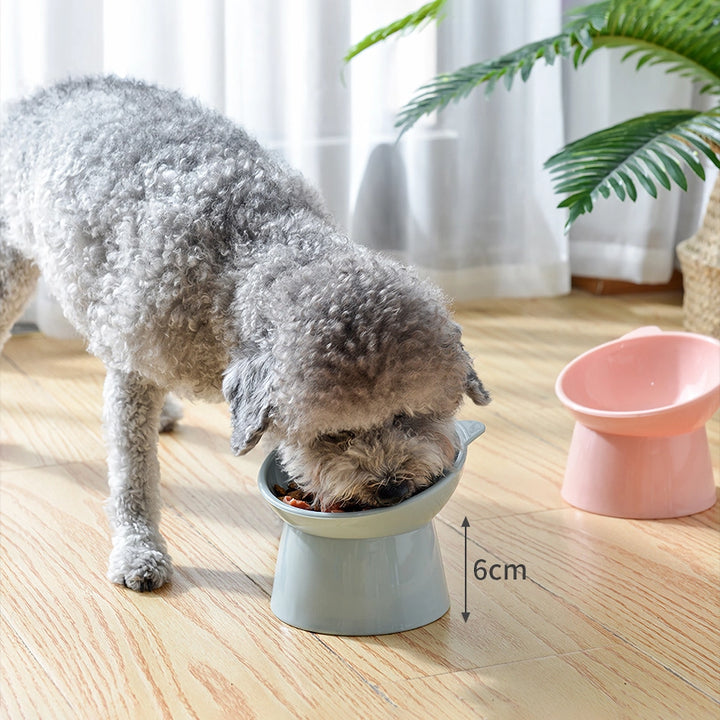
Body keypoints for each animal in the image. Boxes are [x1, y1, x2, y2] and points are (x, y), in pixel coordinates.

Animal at [0, 77, 490, 592]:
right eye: (335, 435)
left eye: (411, 416)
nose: (393, 488)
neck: (245, 257)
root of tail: (49, 91)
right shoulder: (134, 369)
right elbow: (133, 477)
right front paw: (139, 550)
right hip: (14, 274)